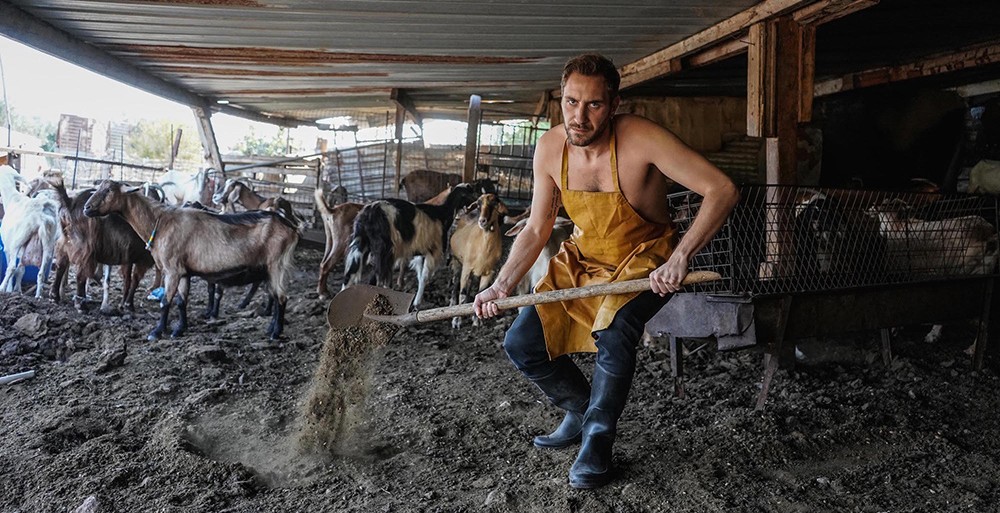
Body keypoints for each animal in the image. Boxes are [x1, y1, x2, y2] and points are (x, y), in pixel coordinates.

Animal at [0, 166, 60, 298]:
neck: (12, 198)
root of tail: (42, 215)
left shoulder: (7, 247)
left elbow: (13, 267)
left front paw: (9, 290)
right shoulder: (24, 248)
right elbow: (21, 269)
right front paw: (17, 290)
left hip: (18, 239)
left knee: (11, 267)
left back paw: (1, 288)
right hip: (48, 243)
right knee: (41, 273)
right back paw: (38, 297)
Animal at [84, 180, 296, 340]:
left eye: (109, 190)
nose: (87, 208)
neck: (161, 222)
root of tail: (290, 226)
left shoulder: (172, 270)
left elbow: (166, 301)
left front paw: (157, 332)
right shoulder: (183, 272)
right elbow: (181, 301)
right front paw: (179, 329)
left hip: (277, 265)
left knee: (282, 297)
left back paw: (276, 333)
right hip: (269, 269)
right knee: (275, 295)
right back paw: (270, 328)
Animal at [342, 182, 478, 306]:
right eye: (469, 193)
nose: (476, 204)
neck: (442, 214)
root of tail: (370, 212)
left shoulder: (420, 253)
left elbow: (420, 275)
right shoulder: (433, 251)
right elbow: (424, 277)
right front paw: (416, 303)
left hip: (360, 243)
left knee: (350, 275)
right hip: (385, 250)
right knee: (380, 278)